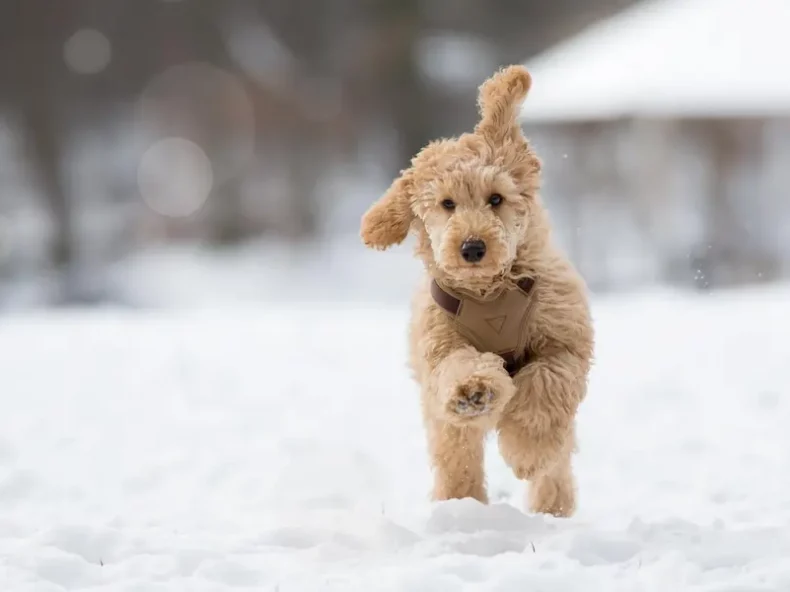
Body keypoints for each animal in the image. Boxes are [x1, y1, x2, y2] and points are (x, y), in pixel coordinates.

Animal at [362, 66, 592, 520]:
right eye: (447, 203)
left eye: (496, 198)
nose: (471, 248)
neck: (490, 293)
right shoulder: (440, 347)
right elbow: (459, 366)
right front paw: (474, 390)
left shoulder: (563, 343)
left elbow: (544, 388)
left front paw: (525, 452)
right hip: (441, 419)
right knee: (457, 456)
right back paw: (460, 505)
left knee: (556, 461)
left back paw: (552, 506)